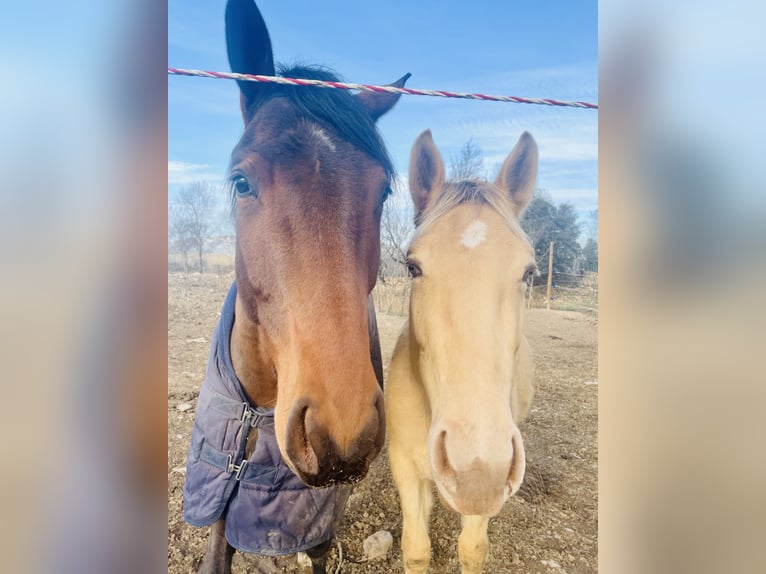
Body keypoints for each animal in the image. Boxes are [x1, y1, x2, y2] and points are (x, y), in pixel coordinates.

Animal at [388, 130, 536, 574]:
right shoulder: (404, 466)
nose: (476, 473)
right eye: (412, 266)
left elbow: (472, 549)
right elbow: (416, 548)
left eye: (529, 272)